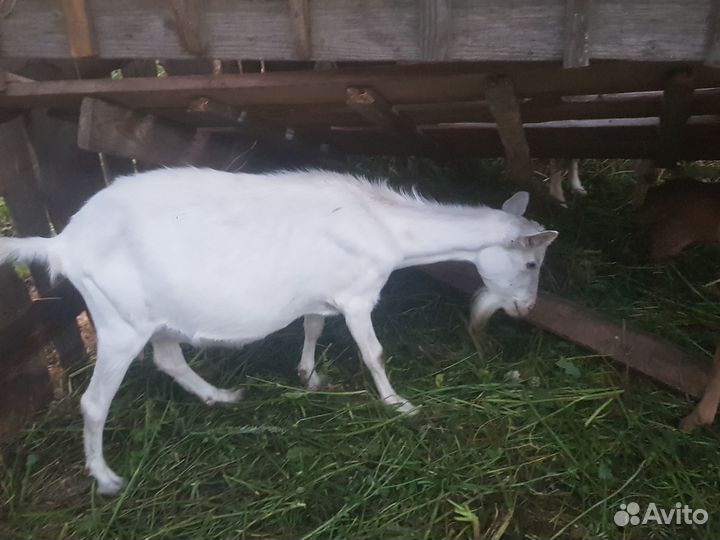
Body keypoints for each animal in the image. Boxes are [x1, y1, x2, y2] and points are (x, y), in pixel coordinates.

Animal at [0, 168, 557, 495]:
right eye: (531, 263)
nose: (526, 310)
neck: (385, 228)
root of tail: (65, 243)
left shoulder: (323, 292)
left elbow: (311, 325)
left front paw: (308, 375)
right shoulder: (358, 295)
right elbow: (373, 352)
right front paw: (399, 405)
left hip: (154, 318)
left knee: (168, 359)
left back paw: (222, 397)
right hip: (118, 320)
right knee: (94, 402)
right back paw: (106, 476)